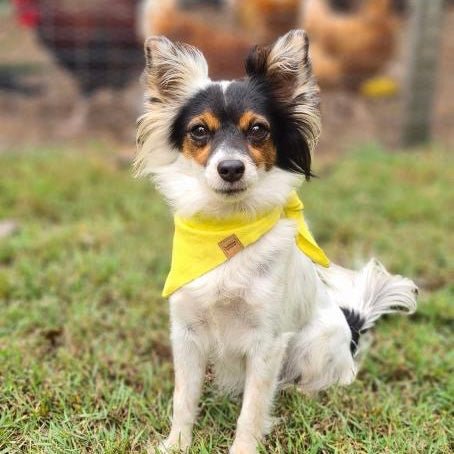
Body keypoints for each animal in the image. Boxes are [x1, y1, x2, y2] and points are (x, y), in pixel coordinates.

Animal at [135, 30, 418, 452]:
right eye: (199, 131)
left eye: (258, 130)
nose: (231, 168)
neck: (227, 233)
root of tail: (350, 324)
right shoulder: (185, 333)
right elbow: (183, 399)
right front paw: (177, 444)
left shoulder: (266, 341)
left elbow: (252, 409)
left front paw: (243, 447)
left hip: (314, 343)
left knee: (329, 379)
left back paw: (301, 392)